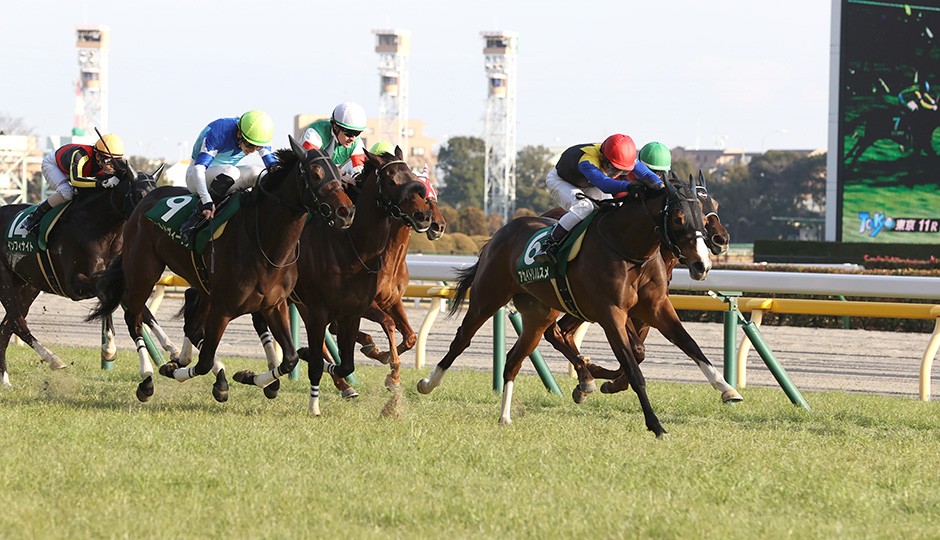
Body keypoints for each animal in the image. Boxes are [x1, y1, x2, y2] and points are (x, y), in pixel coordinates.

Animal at [0, 158, 163, 387]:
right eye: (139, 194)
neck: (98, 226)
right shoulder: (74, 284)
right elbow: (105, 296)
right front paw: (109, 349)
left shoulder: (115, 277)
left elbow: (138, 308)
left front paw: (174, 349)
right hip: (5, 280)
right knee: (17, 321)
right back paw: (54, 360)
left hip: (26, 285)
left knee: (6, 327)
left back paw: (5, 380)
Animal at [88, 139, 355, 403]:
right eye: (314, 173)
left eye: (338, 173)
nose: (346, 212)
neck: (263, 241)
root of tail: (144, 200)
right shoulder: (222, 308)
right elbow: (204, 361)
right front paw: (174, 368)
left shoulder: (273, 304)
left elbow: (290, 358)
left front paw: (252, 378)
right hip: (144, 272)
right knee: (134, 317)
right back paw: (146, 378)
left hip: (200, 285)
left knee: (189, 324)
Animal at [231, 146, 432, 414]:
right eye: (391, 180)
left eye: (411, 175)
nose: (424, 217)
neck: (353, 245)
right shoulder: (340, 306)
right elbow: (385, 326)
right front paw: (387, 367)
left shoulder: (375, 303)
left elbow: (406, 336)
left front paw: (384, 362)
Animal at [417, 177, 716, 438]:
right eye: (678, 218)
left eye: (702, 217)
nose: (702, 264)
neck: (628, 249)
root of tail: (500, 233)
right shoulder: (611, 313)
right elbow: (634, 368)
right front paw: (656, 426)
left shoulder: (655, 307)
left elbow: (689, 346)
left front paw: (723, 387)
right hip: (488, 297)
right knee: (462, 340)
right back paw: (428, 383)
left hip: (539, 314)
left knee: (515, 359)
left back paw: (507, 415)